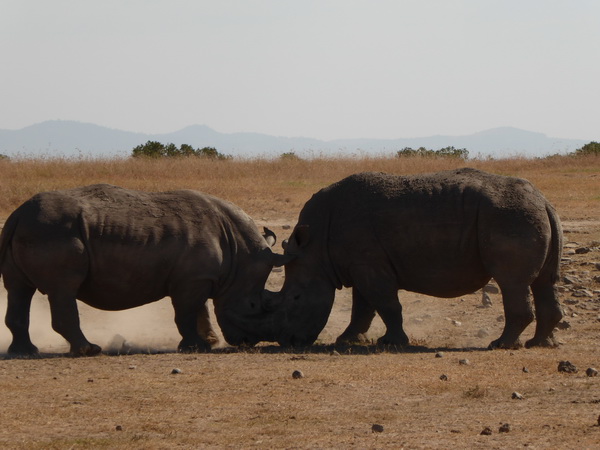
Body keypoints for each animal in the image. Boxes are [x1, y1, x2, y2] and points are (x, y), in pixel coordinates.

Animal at [0, 183, 286, 356]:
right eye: (254, 306)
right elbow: (186, 312)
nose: (247, 343)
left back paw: (25, 352)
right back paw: (90, 350)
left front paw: (209, 342)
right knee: (63, 290)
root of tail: (17, 214)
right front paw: (195, 346)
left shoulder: (197, 277)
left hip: (36, 228)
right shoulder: (192, 280)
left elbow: (200, 309)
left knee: (19, 290)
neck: (240, 252)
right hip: (53, 230)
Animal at [262, 169, 564, 348]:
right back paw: (539, 344)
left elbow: (386, 305)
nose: (286, 341)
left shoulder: (368, 265)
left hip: (509, 215)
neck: (315, 247)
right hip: (526, 214)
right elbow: (363, 307)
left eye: (296, 298)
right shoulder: (361, 264)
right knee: (542, 282)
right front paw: (347, 340)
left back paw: (500, 345)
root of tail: (544, 200)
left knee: (512, 282)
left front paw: (391, 343)